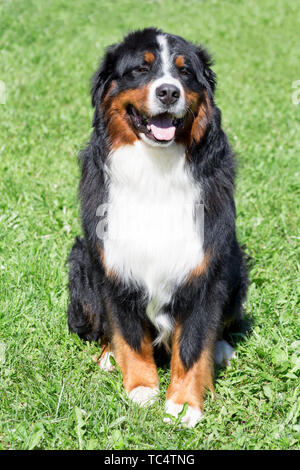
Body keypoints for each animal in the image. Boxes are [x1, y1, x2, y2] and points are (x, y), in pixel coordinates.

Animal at [67, 27, 248, 428]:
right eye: (140, 69)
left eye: (184, 72)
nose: (168, 92)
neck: (155, 170)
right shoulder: (114, 265)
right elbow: (129, 334)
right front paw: (141, 388)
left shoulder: (204, 268)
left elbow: (194, 344)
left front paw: (183, 404)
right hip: (82, 262)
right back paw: (109, 356)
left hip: (236, 263)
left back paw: (222, 349)